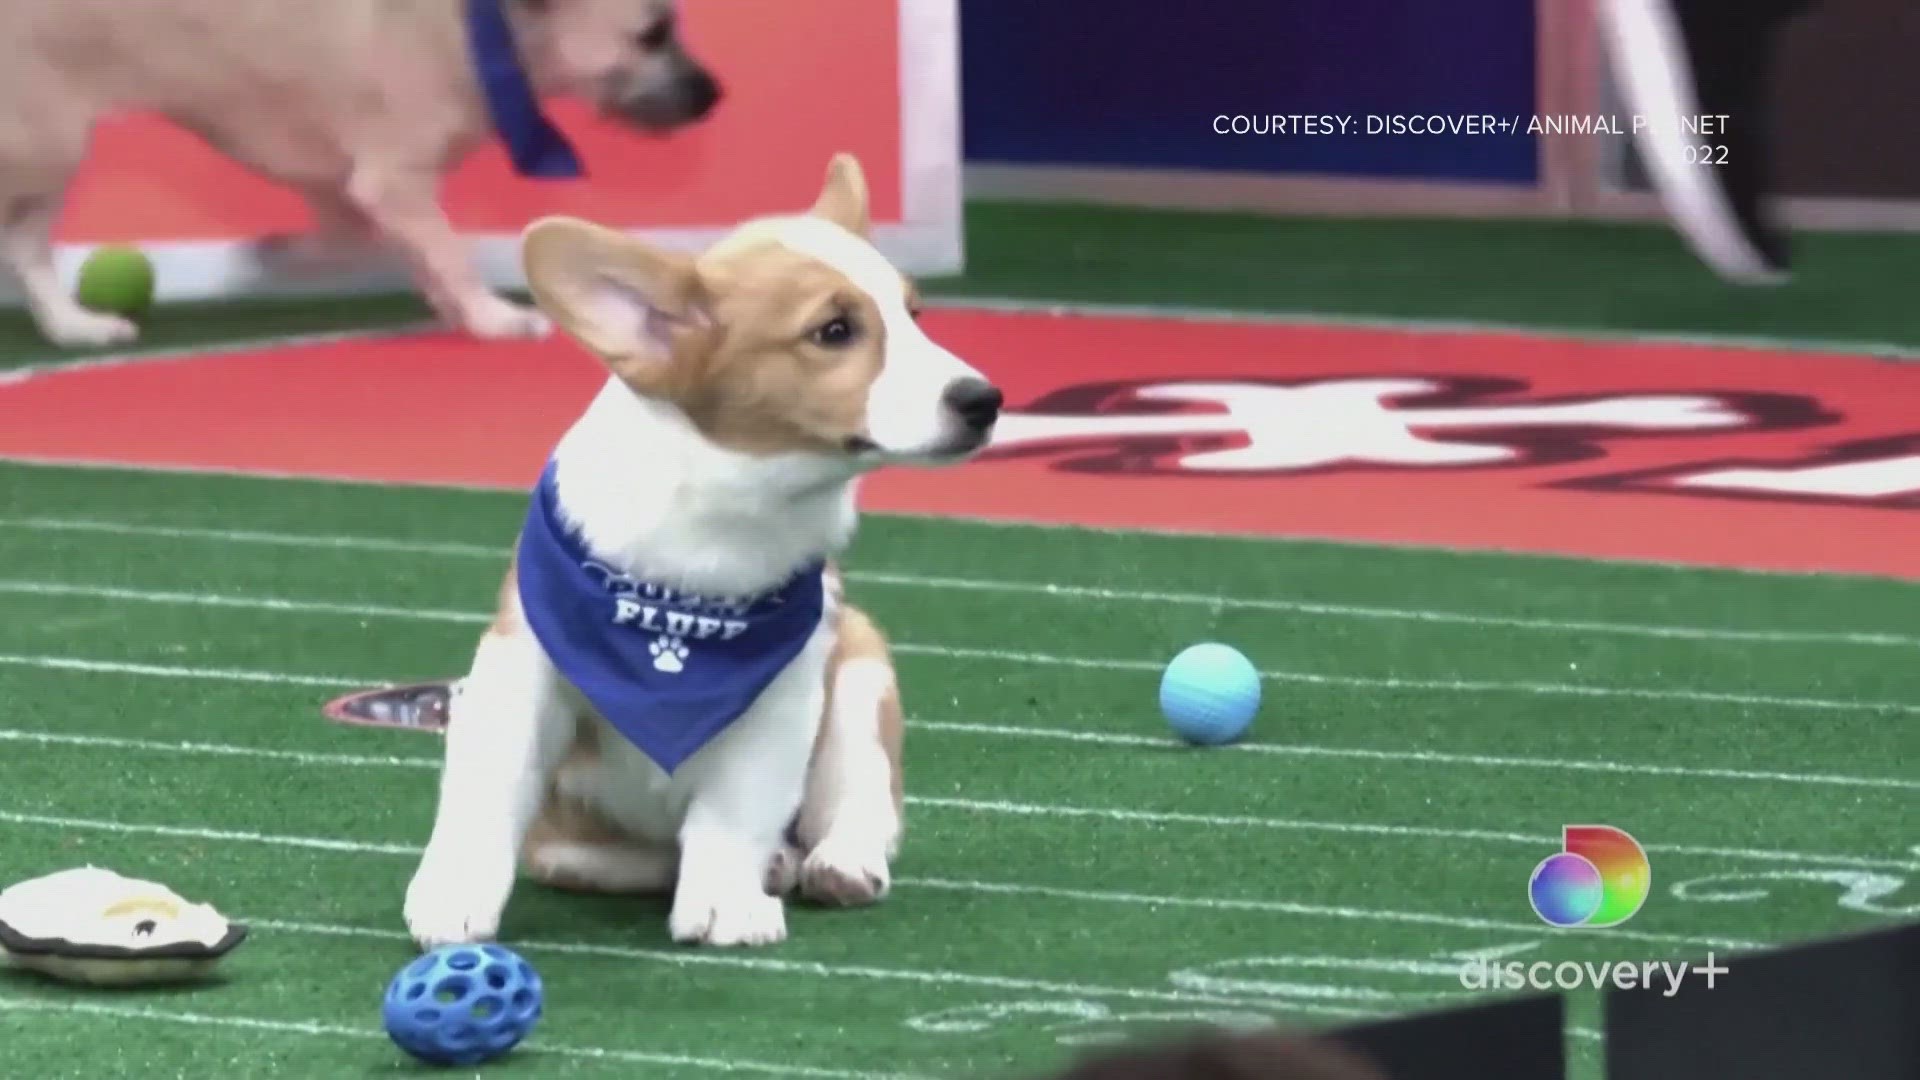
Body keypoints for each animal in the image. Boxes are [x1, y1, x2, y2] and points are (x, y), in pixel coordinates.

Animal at [0, 0, 718, 345]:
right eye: (653, 32)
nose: (714, 95)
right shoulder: (388, 180)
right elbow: (445, 250)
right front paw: (493, 317)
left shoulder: (354, 191)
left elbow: (393, 245)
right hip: (45, 144)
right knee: (21, 240)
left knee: (27, 246)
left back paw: (73, 326)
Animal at [405, 151, 1006, 941]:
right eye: (834, 331)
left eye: (915, 314)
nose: (985, 401)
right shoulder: (521, 668)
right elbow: (489, 790)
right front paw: (453, 894)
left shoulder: (785, 696)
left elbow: (734, 811)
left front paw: (726, 901)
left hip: (861, 671)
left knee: (863, 806)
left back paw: (836, 862)